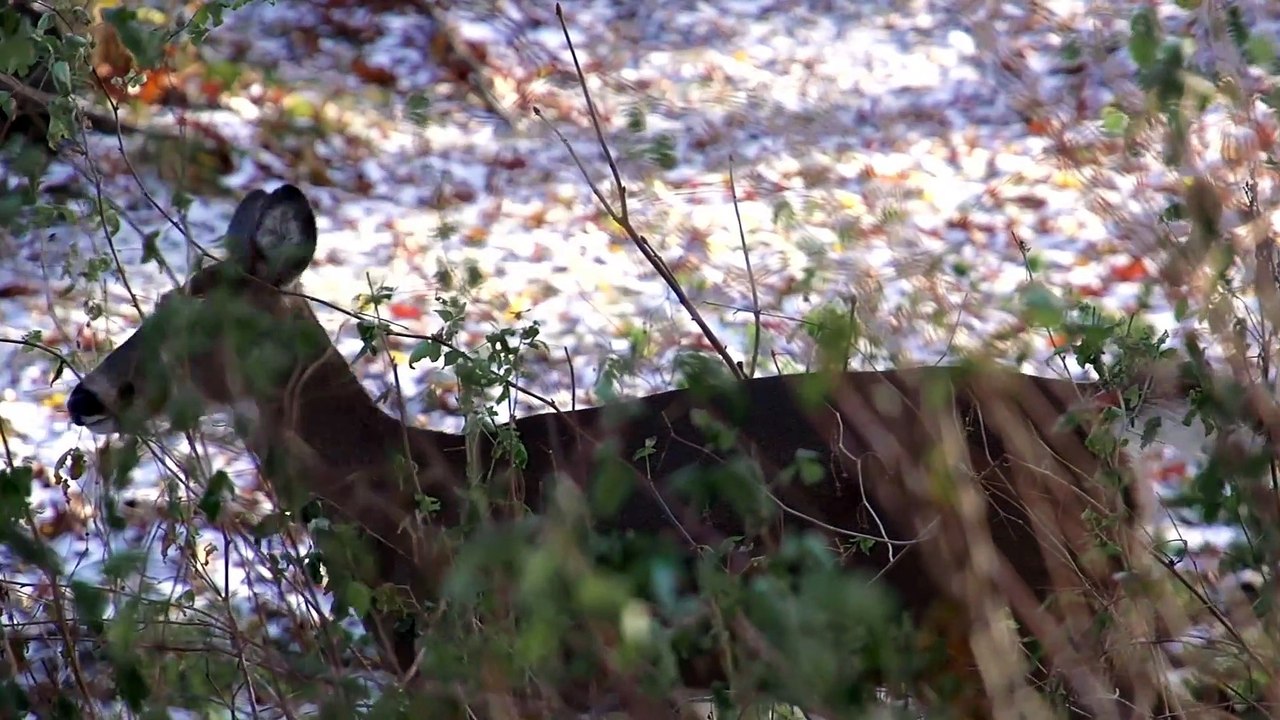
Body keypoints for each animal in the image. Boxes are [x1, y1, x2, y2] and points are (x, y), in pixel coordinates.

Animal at [64, 184, 1241, 718]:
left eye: (189, 321)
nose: (87, 395)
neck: (411, 495)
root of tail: (1093, 415)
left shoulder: (542, 669)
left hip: (1049, 604)